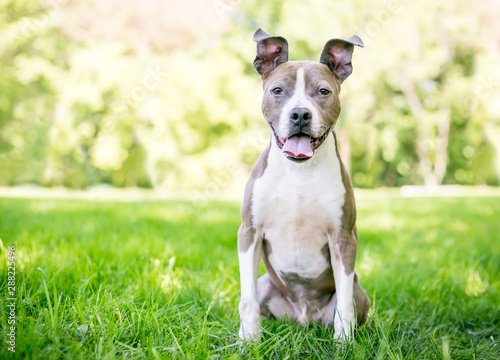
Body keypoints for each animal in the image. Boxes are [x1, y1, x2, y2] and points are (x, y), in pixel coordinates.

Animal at [238, 28, 372, 340]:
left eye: (323, 91)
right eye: (277, 90)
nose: (300, 114)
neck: (298, 171)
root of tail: (303, 317)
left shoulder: (343, 239)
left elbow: (344, 305)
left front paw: (344, 344)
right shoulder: (249, 232)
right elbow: (247, 300)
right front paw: (248, 341)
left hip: (360, 292)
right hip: (265, 282)